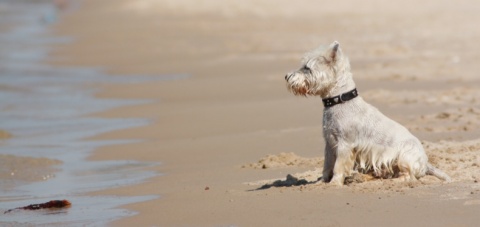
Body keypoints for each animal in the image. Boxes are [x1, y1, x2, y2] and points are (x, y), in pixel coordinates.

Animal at [284, 41, 450, 186]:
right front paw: (321, 182)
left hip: (404, 157)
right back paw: (360, 178)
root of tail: (426, 163)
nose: (286, 76)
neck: (340, 101)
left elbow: (338, 166)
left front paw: (334, 183)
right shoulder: (329, 144)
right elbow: (327, 165)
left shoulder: (345, 144)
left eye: (307, 68)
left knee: (407, 176)